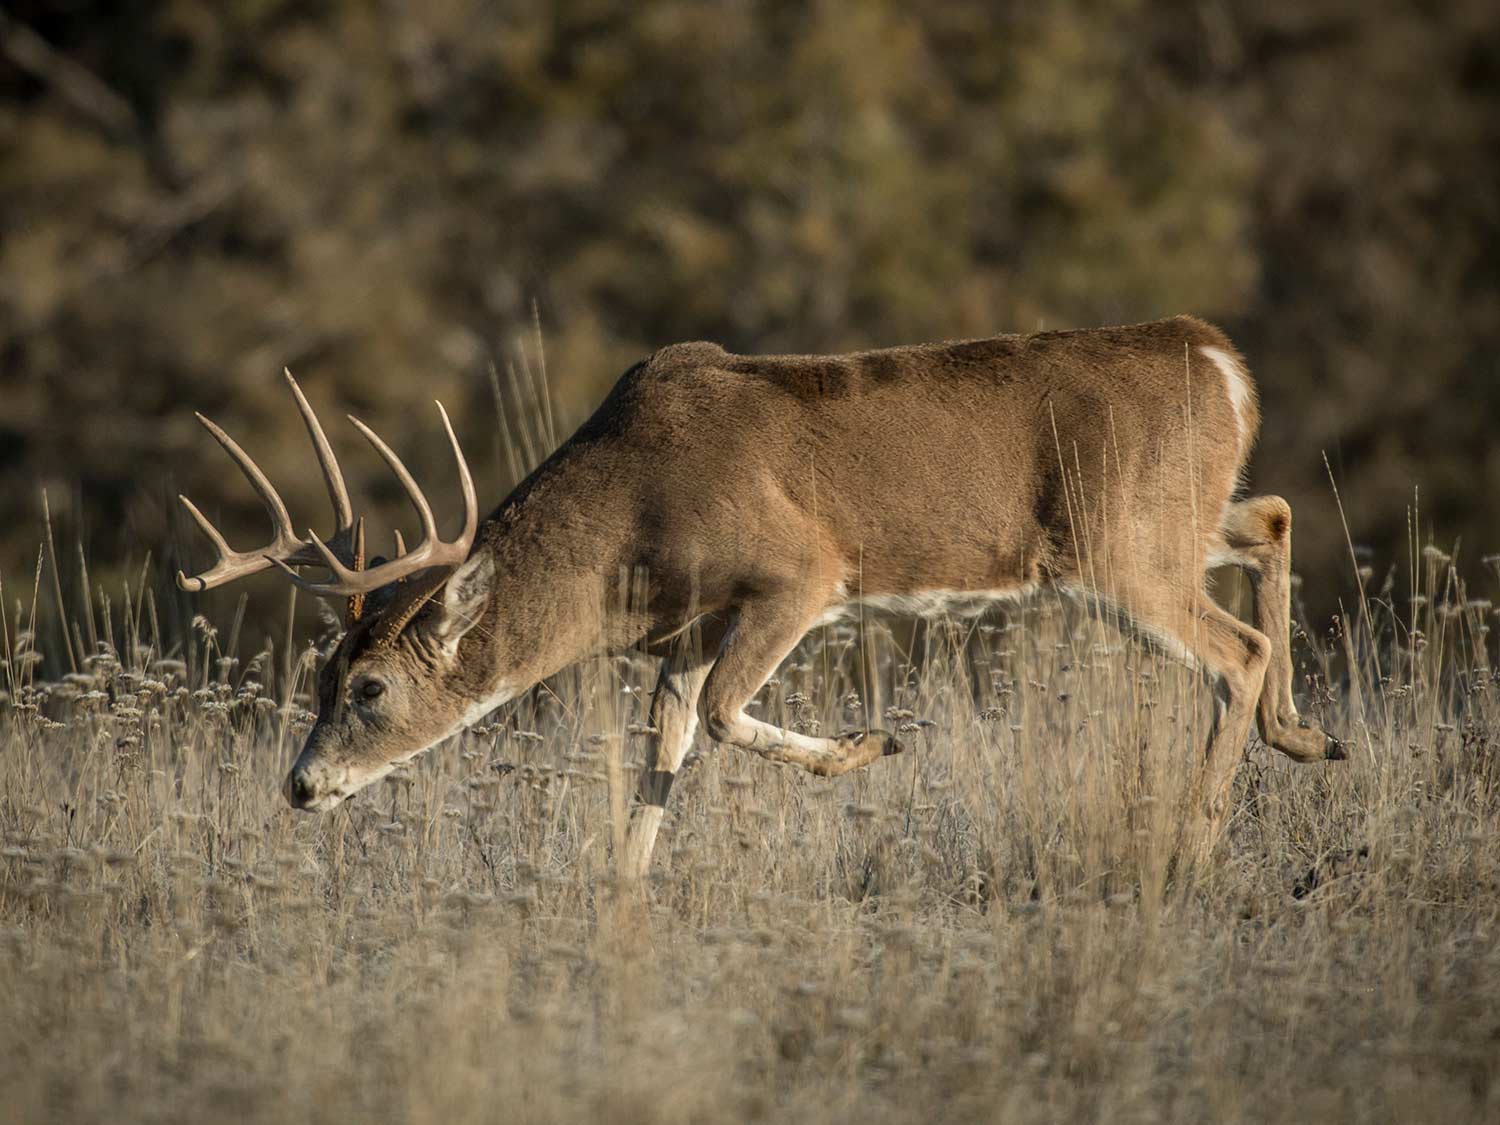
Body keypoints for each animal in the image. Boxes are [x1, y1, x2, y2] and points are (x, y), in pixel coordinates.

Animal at [177, 315, 1342, 875]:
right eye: (320, 677)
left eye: (369, 688)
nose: (299, 786)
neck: (631, 523)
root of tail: (1220, 359)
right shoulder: (688, 628)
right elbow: (666, 745)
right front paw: (618, 908)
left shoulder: (798, 572)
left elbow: (727, 715)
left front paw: (873, 745)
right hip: (1173, 523)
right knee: (1274, 515)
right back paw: (1307, 735)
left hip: (1120, 547)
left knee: (1233, 649)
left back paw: (1191, 848)